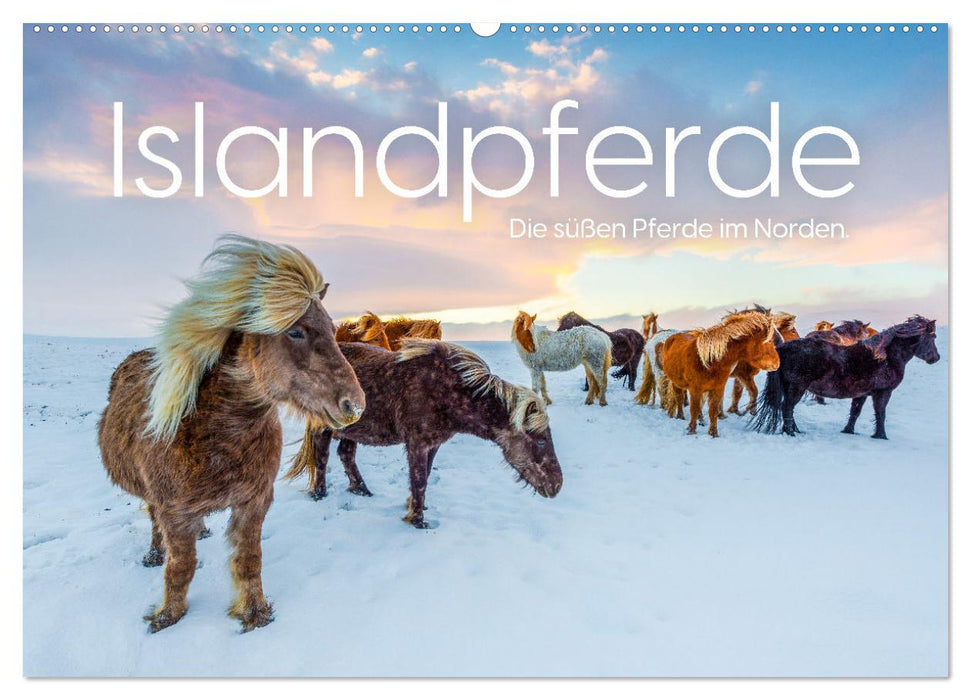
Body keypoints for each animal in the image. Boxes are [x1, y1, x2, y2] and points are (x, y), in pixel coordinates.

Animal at [97, 236, 365, 633]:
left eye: (334, 330)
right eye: (295, 331)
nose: (355, 405)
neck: (217, 436)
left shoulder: (254, 502)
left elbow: (249, 560)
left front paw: (254, 614)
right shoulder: (174, 512)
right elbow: (181, 567)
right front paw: (167, 616)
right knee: (153, 520)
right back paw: (154, 554)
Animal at [286, 340, 563, 528]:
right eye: (540, 440)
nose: (557, 485)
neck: (449, 391)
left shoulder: (433, 444)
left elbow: (425, 476)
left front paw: (416, 507)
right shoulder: (417, 444)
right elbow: (419, 479)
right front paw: (417, 521)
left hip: (351, 429)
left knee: (345, 454)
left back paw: (362, 490)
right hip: (324, 427)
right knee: (321, 457)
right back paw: (319, 494)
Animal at [751, 316, 939, 439]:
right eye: (933, 337)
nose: (936, 358)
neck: (884, 357)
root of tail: (782, 348)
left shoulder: (862, 394)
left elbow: (855, 412)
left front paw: (848, 431)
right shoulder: (883, 392)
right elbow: (881, 413)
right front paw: (881, 436)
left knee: (787, 408)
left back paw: (794, 430)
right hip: (797, 388)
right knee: (787, 407)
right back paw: (790, 433)